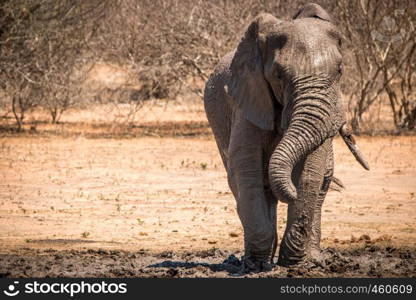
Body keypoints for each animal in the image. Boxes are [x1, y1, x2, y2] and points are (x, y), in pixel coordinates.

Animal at [203, 2, 368, 272]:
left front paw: (294, 265)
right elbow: (246, 168)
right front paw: (256, 266)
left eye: (340, 71)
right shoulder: (248, 98)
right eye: (279, 75)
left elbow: (310, 172)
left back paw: (314, 259)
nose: (288, 189)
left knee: (321, 183)